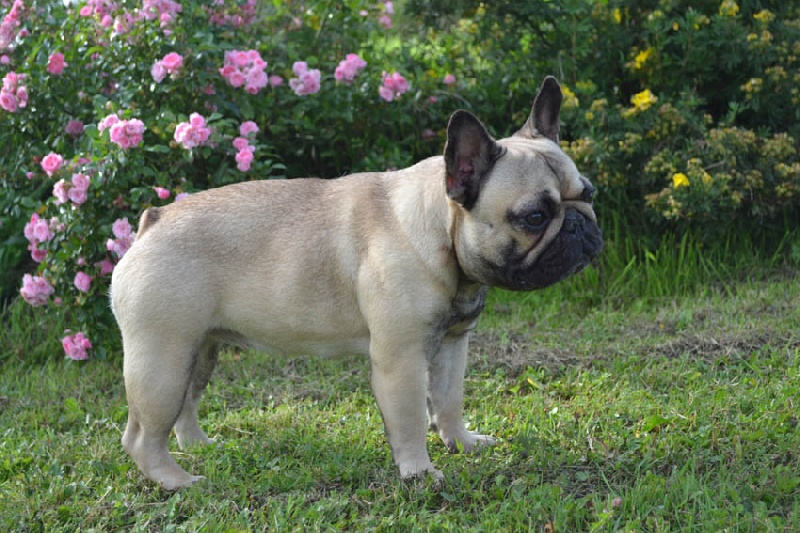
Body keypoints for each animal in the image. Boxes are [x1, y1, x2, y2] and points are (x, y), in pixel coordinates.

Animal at [111, 77, 600, 488]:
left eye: (589, 193)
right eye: (533, 217)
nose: (581, 225)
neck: (439, 232)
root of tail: (154, 220)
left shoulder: (452, 346)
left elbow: (448, 400)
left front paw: (461, 443)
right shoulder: (402, 360)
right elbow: (410, 419)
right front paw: (420, 474)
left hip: (199, 350)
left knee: (186, 406)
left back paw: (200, 448)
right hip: (163, 359)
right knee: (142, 434)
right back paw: (178, 481)